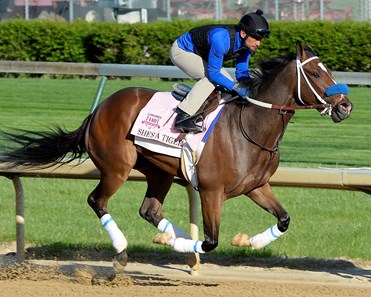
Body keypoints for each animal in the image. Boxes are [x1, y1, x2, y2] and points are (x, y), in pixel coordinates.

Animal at [0, 41, 354, 270]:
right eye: (317, 74)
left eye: (329, 70)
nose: (346, 106)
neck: (251, 125)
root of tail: (98, 110)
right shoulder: (211, 191)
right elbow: (210, 241)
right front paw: (192, 246)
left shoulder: (256, 186)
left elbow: (283, 220)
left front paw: (248, 242)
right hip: (117, 168)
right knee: (97, 201)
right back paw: (124, 248)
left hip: (159, 172)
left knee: (149, 210)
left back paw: (169, 236)